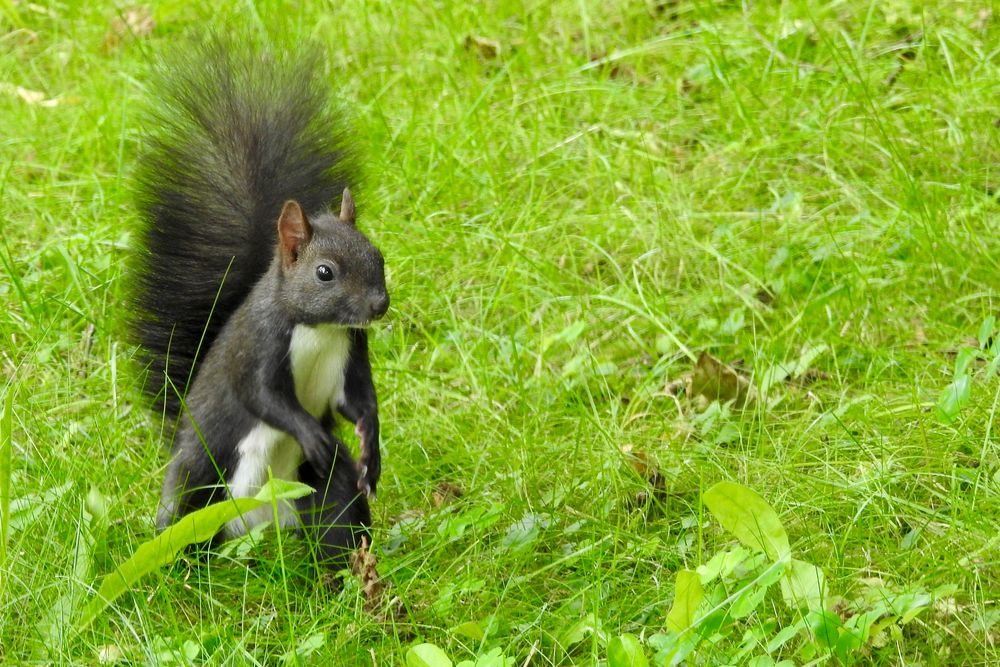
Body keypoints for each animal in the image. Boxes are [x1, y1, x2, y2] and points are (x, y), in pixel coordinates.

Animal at [129, 37, 386, 568]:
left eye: (379, 256)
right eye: (324, 272)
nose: (379, 305)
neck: (317, 329)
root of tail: (261, 531)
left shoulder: (352, 350)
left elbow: (359, 401)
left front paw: (371, 449)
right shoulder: (258, 345)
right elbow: (263, 396)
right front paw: (310, 431)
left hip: (325, 491)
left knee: (336, 521)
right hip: (198, 477)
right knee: (182, 517)